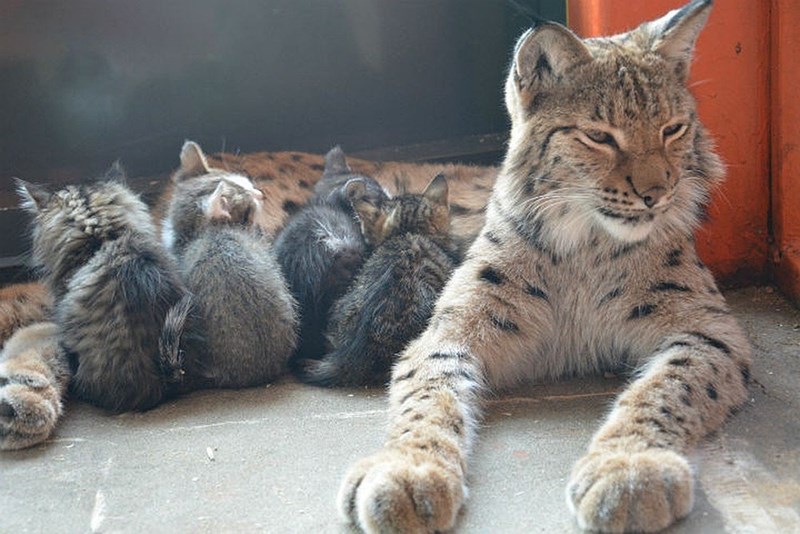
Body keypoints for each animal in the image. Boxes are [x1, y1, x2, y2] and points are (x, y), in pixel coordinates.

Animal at [336, 2, 752, 532]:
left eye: (673, 129)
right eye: (599, 137)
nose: (657, 194)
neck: (587, 242)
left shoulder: (709, 330)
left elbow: (665, 389)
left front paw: (630, 467)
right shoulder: (450, 329)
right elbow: (429, 392)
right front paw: (407, 466)